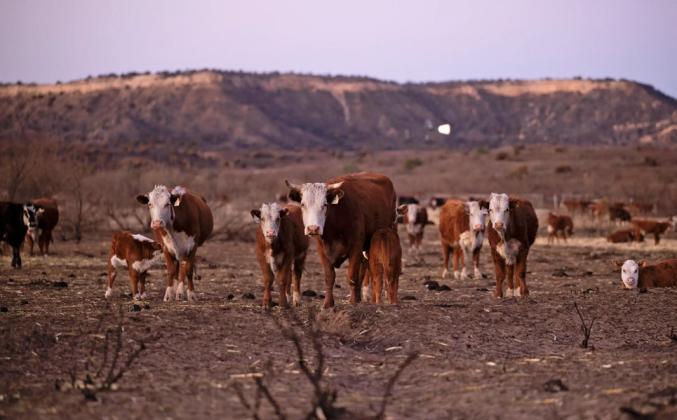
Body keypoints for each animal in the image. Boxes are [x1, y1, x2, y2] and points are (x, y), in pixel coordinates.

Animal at [285, 172, 397, 308]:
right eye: (302, 204)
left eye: (325, 204)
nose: (313, 228)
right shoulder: (322, 250)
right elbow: (329, 277)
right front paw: (328, 303)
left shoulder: (356, 247)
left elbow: (352, 275)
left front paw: (353, 302)